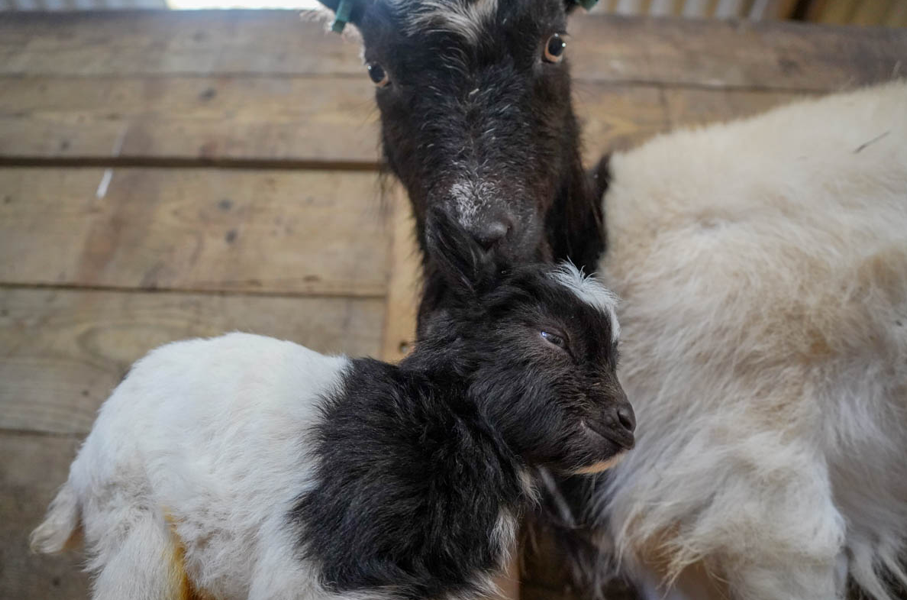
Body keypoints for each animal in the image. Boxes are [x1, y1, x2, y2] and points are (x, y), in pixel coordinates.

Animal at [30, 209, 636, 600]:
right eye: (551, 337)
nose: (627, 423)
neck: (440, 421)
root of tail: (83, 463)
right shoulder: (320, 565)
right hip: (138, 530)